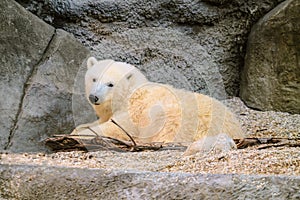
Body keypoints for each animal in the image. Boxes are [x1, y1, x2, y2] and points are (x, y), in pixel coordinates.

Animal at [71, 57, 245, 154]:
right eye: (94, 79)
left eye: (110, 84)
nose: (94, 97)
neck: (131, 93)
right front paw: (81, 127)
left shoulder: (135, 110)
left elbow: (117, 128)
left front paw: (79, 133)